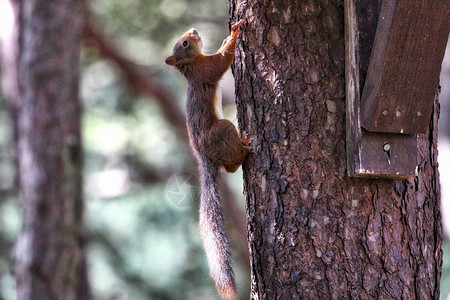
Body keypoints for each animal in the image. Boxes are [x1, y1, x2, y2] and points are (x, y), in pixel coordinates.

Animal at [165, 19, 250, 298]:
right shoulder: (207, 69)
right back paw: (245, 147)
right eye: (184, 43)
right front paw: (234, 34)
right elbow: (223, 60)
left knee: (229, 168)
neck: (191, 66)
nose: (193, 31)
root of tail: (205, 157)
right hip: (222, 129)